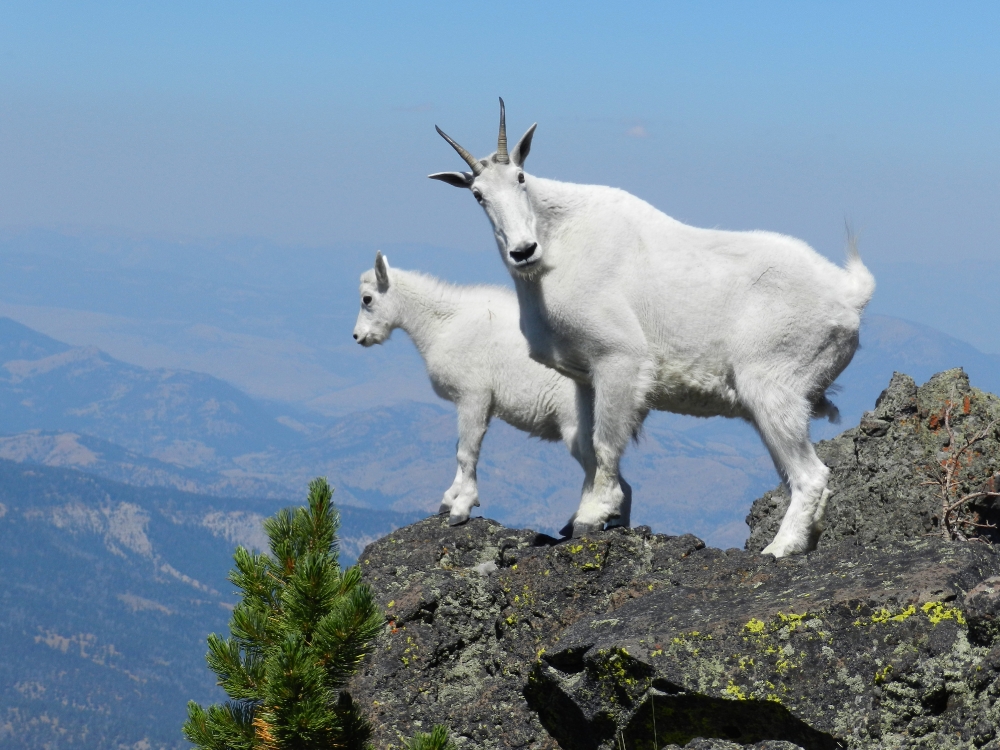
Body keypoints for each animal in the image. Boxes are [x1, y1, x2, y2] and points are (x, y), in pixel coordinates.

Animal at [430, 100, 876, 560]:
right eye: (478, 195)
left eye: (520, 177)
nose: (523, 251)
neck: (556, 247)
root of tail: (849, 295)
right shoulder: (584, 376)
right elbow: (588, 442)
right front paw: (586, 515)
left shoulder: (618, 358)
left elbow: (606, 441)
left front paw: (594, 515)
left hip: (773, 386)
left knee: (811, 474)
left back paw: (778, 548)